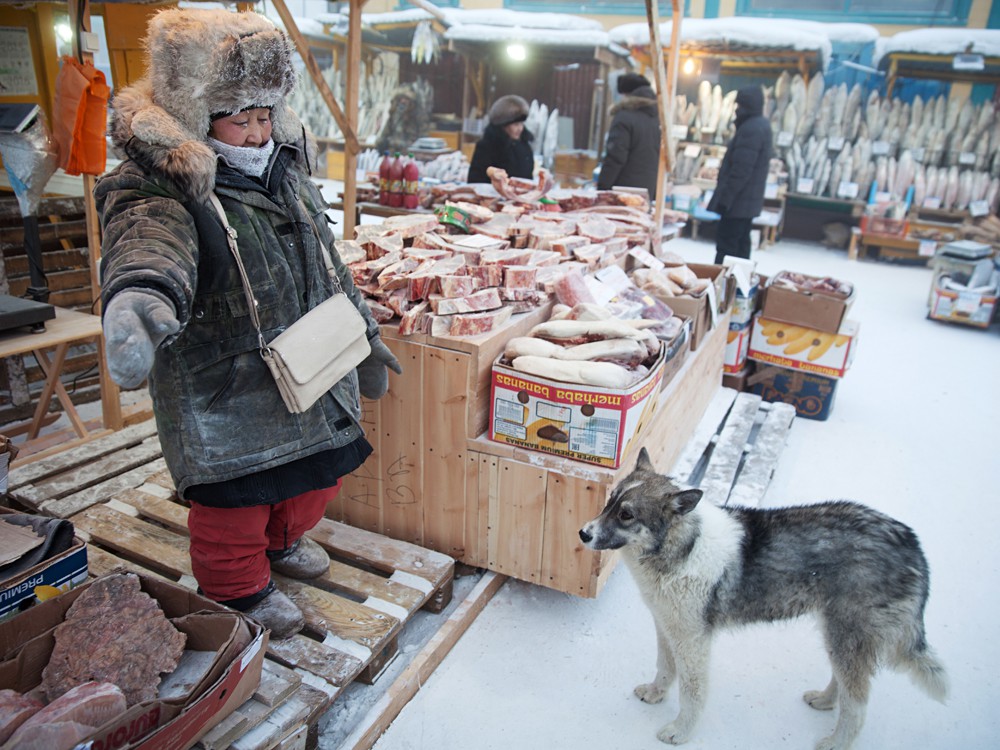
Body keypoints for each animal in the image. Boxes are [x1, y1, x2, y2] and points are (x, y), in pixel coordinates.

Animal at [580, 450, 944, 748]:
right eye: (609, 501)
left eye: (627, 515)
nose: (583, 533)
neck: (683, 547)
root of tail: (911, 541)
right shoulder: (668, 627)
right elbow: (665, 668)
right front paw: (656, 694)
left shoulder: (693, 641)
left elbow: (692, 692)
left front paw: (681, 732)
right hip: (837, 634)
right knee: (844, 684)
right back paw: (824, 701)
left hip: (847, 637)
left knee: (858, 705)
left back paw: (836, 742)